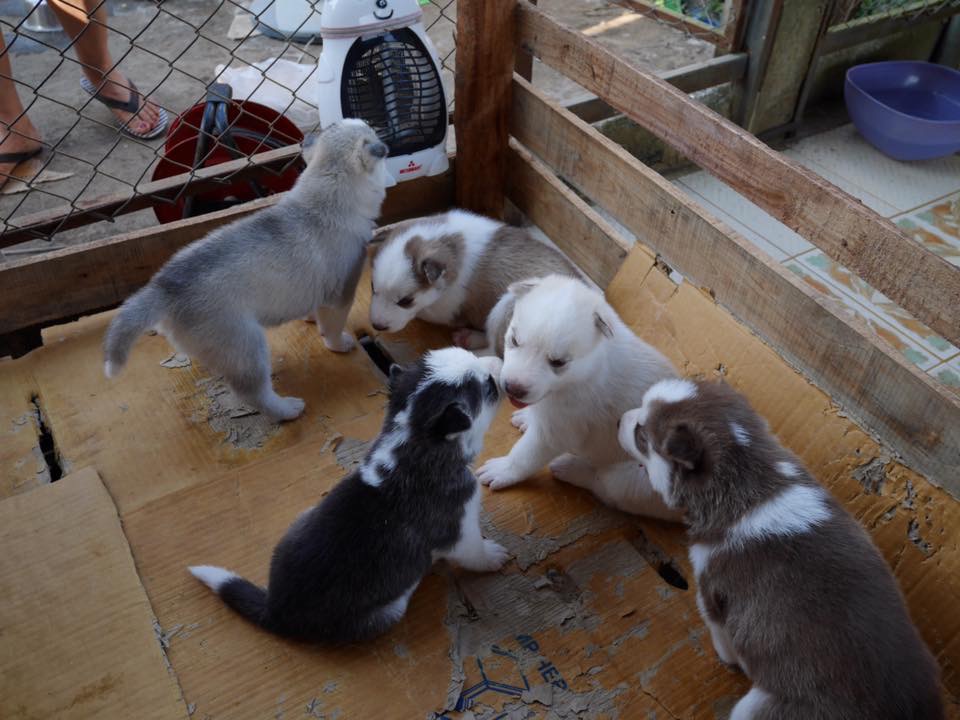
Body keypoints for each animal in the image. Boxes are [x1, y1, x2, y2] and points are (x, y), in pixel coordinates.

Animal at [103, 119, 391, 421]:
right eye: (369, 129)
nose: (378, 129)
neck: (323, 196)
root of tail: (163, 287)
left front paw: (310, 319)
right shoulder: (340, 295)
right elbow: (332, 328)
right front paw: (340, 344)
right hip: (247, 346)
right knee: (253, 394)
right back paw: (287, 409)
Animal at [189, 347, 510, 643]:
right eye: (488, 386)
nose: (500, 361)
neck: (414, 439)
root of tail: (274, 610)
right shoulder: (460, 529)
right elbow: (475, 552)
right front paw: (494, 556)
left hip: (301, 519)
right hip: (389, 610)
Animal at [369, 209, 578, 355]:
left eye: (406, 301)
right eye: (372, 288)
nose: (377, 326)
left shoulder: (444, 310)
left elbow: (422, 312)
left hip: (504, 306)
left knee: (497, 356)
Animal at [475, 275, 681, 522]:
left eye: (558, 362)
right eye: (514, 340)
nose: (513, 388)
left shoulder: (555, 432)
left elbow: (524, 454)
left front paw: (503, 469)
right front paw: (528, 417)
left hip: (634, 479)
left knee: (603, 486)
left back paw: (569, 467)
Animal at [618, 378, 944, 720]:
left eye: (641, 434)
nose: (618, 419)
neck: (748, 478)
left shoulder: (709, 591)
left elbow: (721, 634)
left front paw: (729, 659)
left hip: (755, 708)